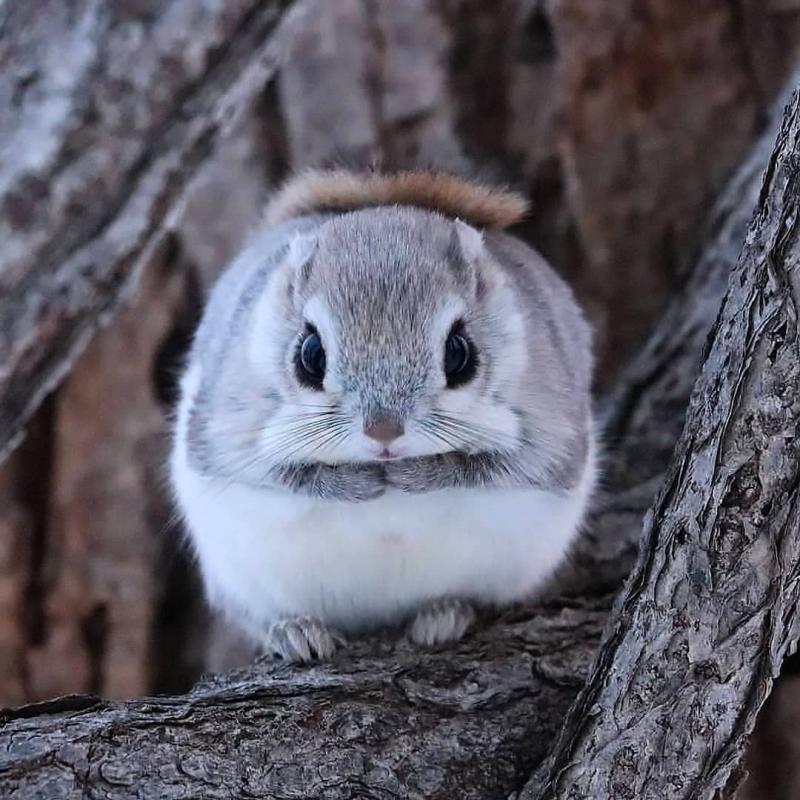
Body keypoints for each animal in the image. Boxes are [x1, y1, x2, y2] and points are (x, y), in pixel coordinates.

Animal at [170, 169, 592, 664]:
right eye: (309, 355)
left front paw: (419, 474)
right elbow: (282, 474)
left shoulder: (548, 430)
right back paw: (294, 632)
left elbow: (493, 467)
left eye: (459, 354)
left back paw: (446, 615)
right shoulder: (230, 429)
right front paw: (357, 482)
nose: (384, 432)